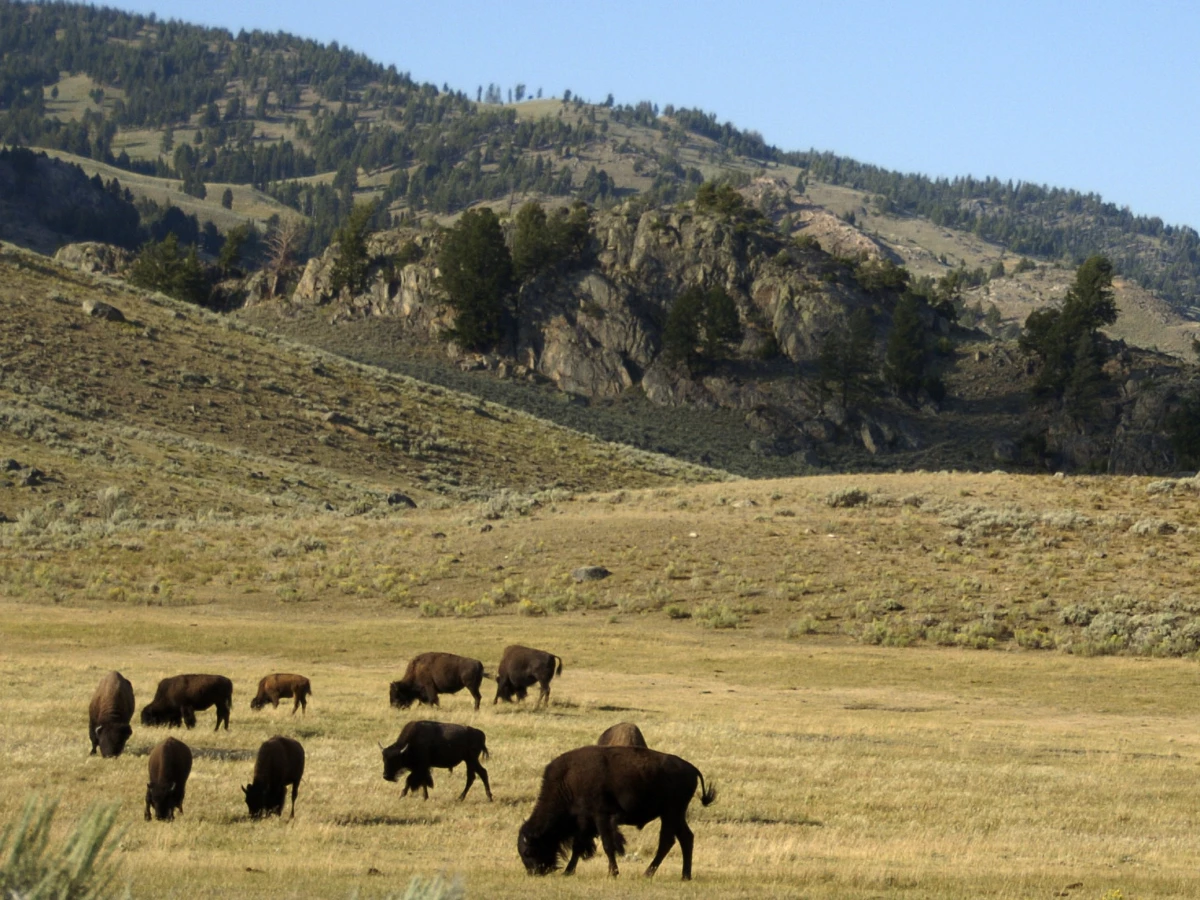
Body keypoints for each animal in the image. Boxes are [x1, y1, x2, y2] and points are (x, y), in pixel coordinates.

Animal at [518, 745, 716, 880]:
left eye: (528, 852)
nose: (534, 872)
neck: (568, 781)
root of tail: (692, 769)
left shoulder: (601, 817)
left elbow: (607, 845)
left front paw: (613, 873)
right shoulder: (584, 823)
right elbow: (578, 846)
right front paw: (568, 871)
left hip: (670, 813)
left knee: (667, 841)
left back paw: (648, 873)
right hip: (676, 815)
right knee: (685, 838)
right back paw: (685, 875)